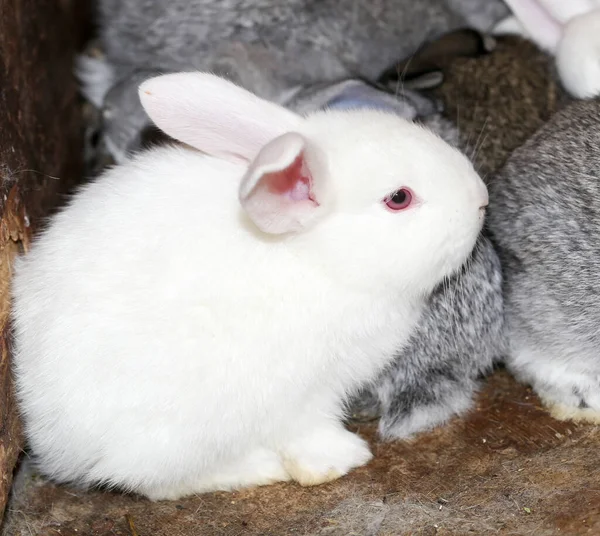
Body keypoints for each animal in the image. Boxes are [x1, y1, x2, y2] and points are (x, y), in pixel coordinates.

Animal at [9, 73, 488, 500]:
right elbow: (309, 432)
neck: (315, 256)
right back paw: (256, 468)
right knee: (146, 480)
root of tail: (52, 439)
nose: (481, 198)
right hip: (185, 430)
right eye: (399, 198)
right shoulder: (305, 393)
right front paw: (343, 459)